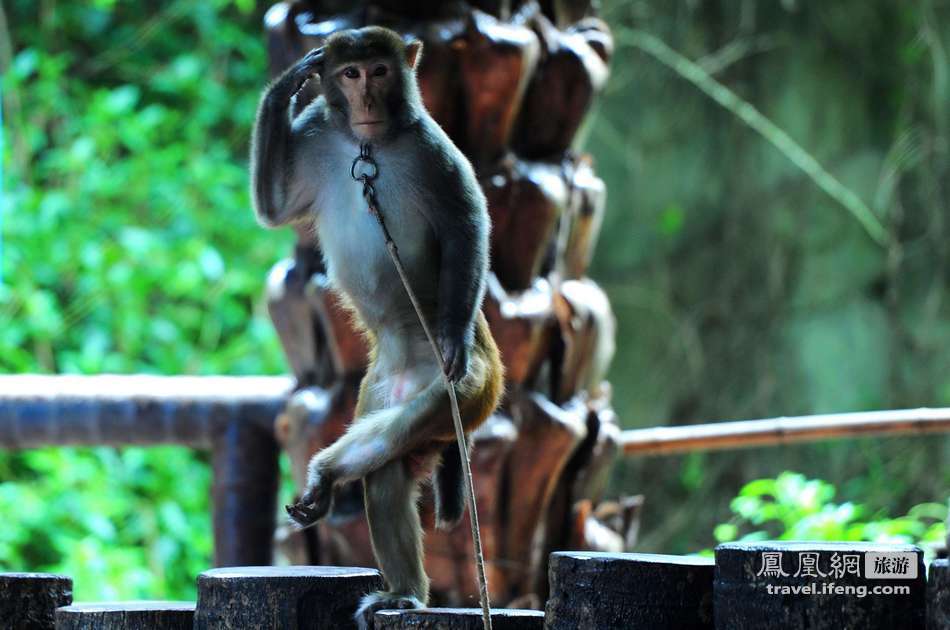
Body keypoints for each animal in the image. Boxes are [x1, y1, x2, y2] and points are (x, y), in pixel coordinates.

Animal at [251, 27, 506, 628]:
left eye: (380, 71)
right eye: (351, 74)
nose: (367, 99)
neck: (368, 148)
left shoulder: (431, 147)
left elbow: (467, 223)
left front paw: (454, 334)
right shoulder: (317, 133)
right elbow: (274, 209)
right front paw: (290, 80)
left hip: (475, 388)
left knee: (410, 422)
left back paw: (328, 472)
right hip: (379, 387)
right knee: (387, 467)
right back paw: (402, 586)